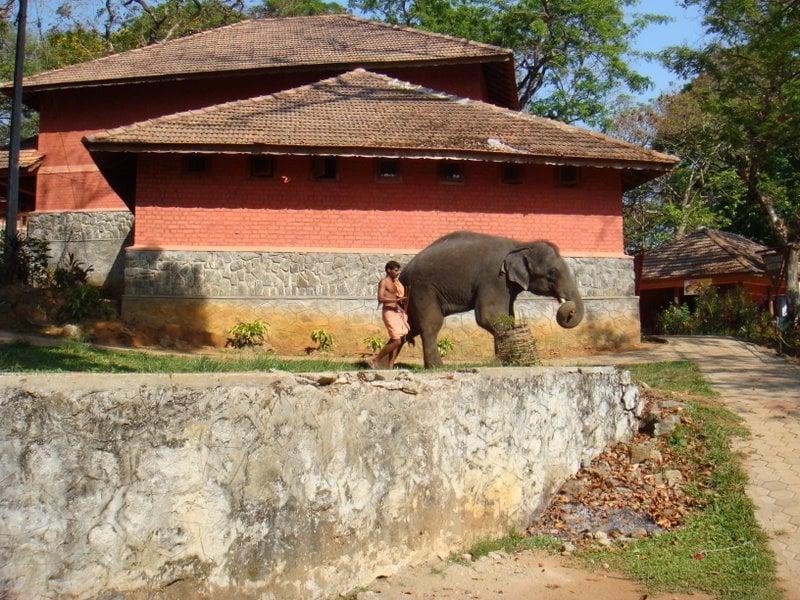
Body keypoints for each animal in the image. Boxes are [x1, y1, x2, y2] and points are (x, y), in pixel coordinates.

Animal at [398, 231, 580, 368]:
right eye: (552, 273)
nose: (570, 310)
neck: (519, 244)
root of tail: (403, 273)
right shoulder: (494, 278)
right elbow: (489, 317)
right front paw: (502, 361)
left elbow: (507, 317)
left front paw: (504, 360)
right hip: (422, 289)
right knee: (430, 324)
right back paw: (437, 367)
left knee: (409, 328)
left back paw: (389, 365)